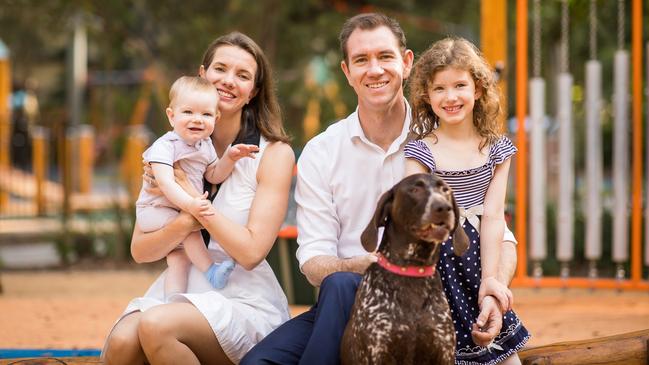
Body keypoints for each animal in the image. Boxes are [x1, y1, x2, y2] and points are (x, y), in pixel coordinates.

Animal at [336, 172, 468, 362]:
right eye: (415, 190)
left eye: (445, 190)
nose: (443, 207)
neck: (412, 269)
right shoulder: (377, 352)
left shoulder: (444, 352)